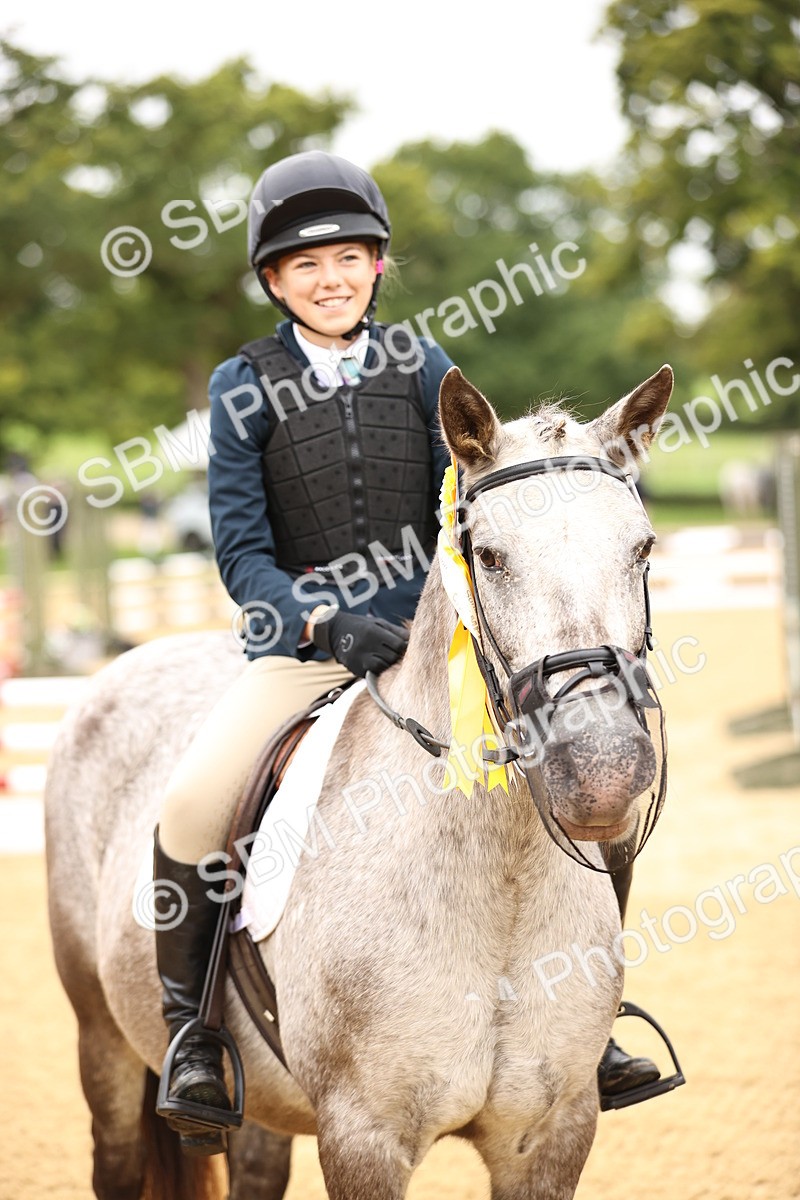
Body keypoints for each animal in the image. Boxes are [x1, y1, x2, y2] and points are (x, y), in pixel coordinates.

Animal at [45, 363, 673, 1200]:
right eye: (490, 556)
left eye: (642, 548)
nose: (601, 768)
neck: (497, 886)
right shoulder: (363, 1136)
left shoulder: (552, 1135)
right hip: (103, 1043)